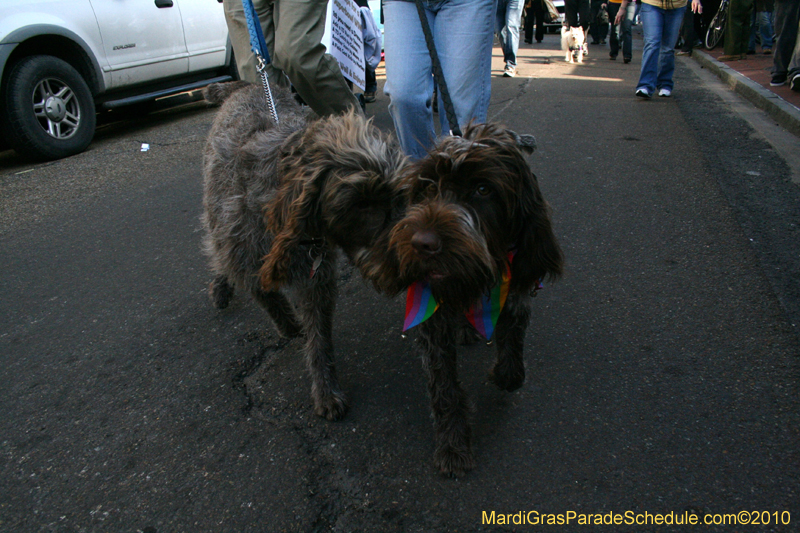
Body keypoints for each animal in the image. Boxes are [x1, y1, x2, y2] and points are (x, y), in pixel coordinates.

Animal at [382, 123, 564, 474]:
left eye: (482, 189)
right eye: (427, 187)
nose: (422, 243)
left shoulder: (516, 294)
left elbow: (513, 351)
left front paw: (507, 374)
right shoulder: (434, 323)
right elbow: (444, 388)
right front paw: (453, 444)